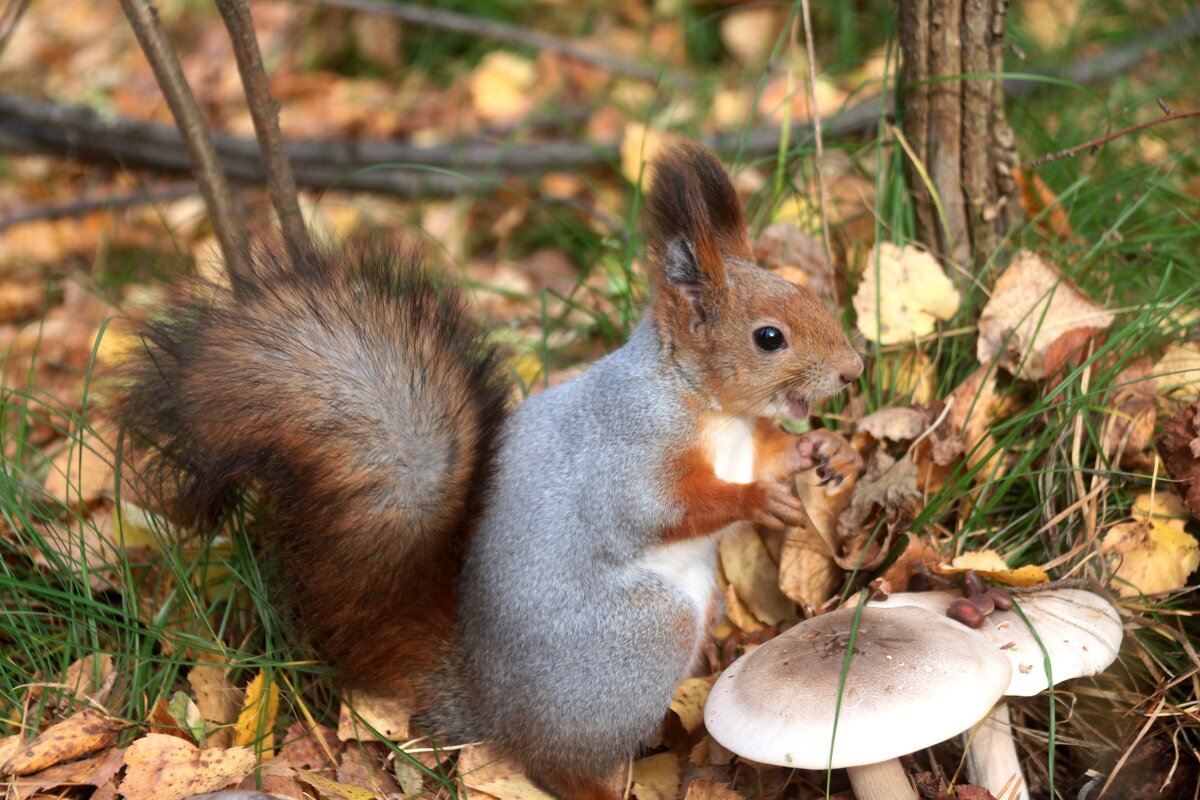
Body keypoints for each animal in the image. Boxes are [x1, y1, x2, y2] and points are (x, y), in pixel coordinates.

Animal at [119, 142, 864, 800]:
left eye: (806, 293)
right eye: (769, 337)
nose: (855, 370)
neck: (707, 407)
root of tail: (490, 708)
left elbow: (772, 451)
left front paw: (827, 453)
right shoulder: (629, 451)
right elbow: (662, 509)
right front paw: (760, 499)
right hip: (641, 639)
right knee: (557, 765)